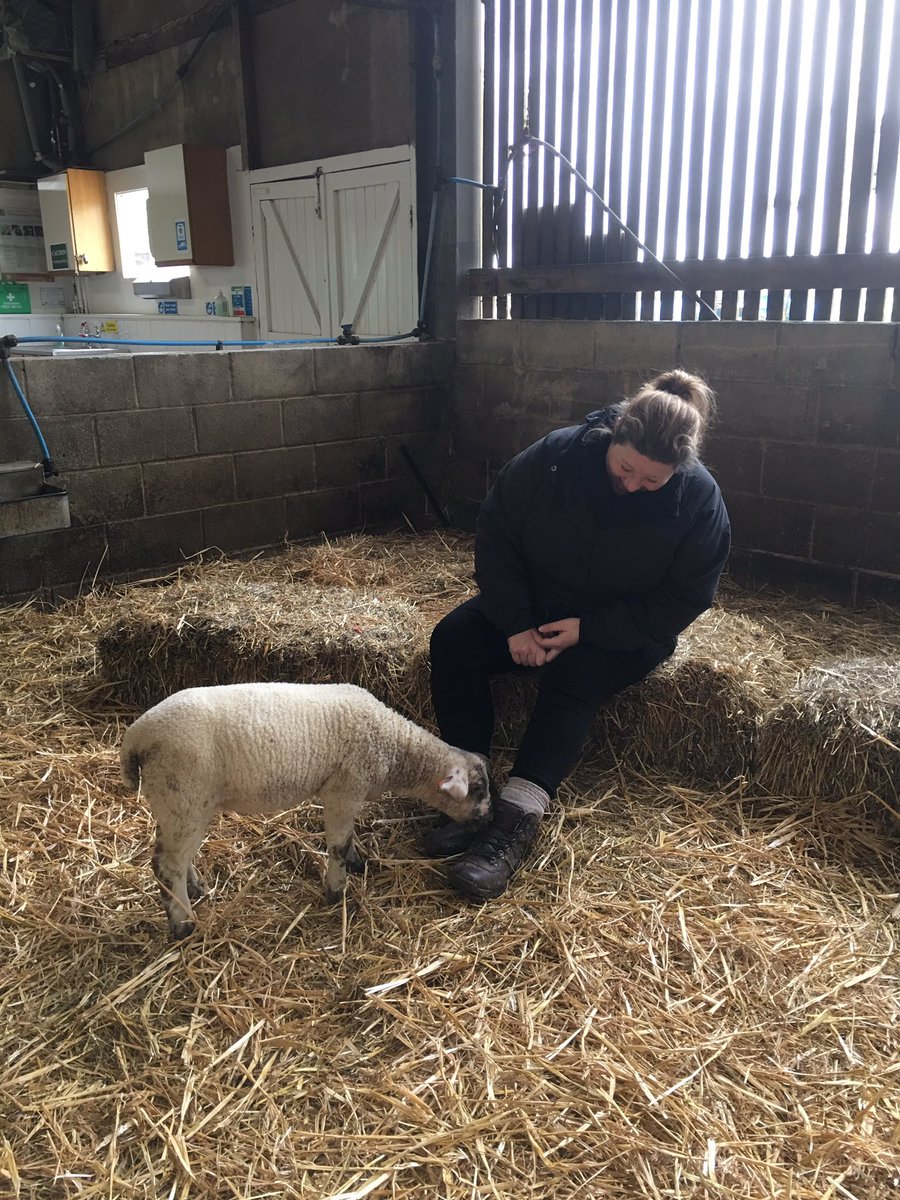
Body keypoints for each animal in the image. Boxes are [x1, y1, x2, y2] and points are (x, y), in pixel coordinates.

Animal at [120, 686, 494, 936]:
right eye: (477, 789)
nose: (487, 818)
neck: (394, 746)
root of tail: (135, 736)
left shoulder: (349, 795)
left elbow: (349, 837)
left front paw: (357, 862)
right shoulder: (343, 790)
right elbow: (338, 846)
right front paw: (337, 891)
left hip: (181, 804)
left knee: (174, 857)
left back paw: (195, 890)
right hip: (183, 794)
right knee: (167, 865)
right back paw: (182, 922)